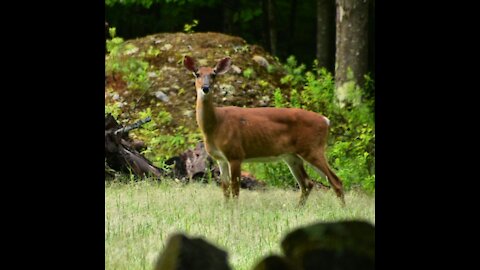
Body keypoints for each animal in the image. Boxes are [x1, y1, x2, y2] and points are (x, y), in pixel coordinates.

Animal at [182, 56, 344, 206]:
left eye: (214, 74)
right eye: (197, 74)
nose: (205, 88)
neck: (216, 125)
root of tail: (326, 120)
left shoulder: (236, 154)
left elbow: (235, 189)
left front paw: (235, 211)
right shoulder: (220, 158)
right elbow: (225, 189)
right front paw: (227, 209)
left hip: (312, 148)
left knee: (335, 180)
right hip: (292, 156)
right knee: (307, 183)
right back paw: (298, 209)